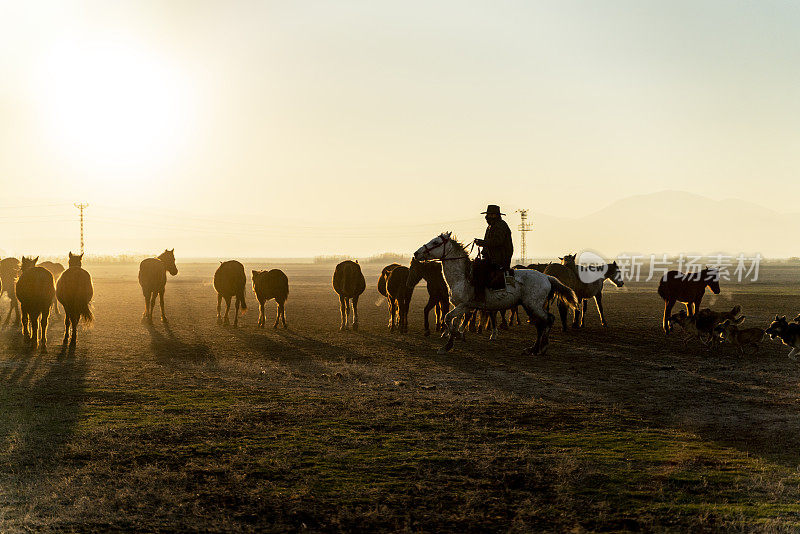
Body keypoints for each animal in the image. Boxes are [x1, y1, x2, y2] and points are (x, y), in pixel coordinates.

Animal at [416, 233, 580, 356]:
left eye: (436, 242)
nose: (417, 253)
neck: (463, 277)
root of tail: (547, 277)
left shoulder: (464, 305)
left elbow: (447, 318)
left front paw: (454, 337)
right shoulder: (461, 306)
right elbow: (454, 321)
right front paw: (448, 344)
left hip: (533, 305)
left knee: (548, 320)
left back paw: (541, 348)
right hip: (530, 306)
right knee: (541, 324)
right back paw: (533, 349)